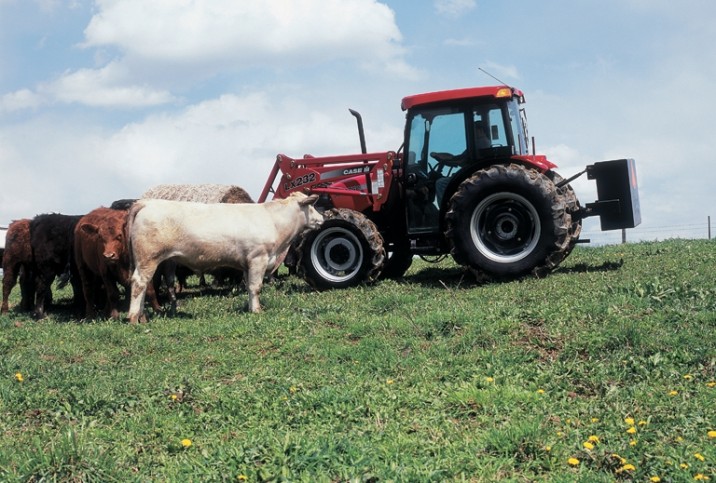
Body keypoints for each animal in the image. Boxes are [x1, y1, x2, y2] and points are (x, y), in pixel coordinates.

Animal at [126, 191, 322, 324]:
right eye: (311, 206)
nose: (322, 218)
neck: (274, 222)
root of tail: (147, 203)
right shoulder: (258, 258)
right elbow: (256, 287)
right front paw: (257, 310)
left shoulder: (247, 264)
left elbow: (249, 287)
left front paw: (250, 307)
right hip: (148, 259)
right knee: (139, 283)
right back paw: (134, 317)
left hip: (161, 261)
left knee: (156, 285)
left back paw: (144, 315)